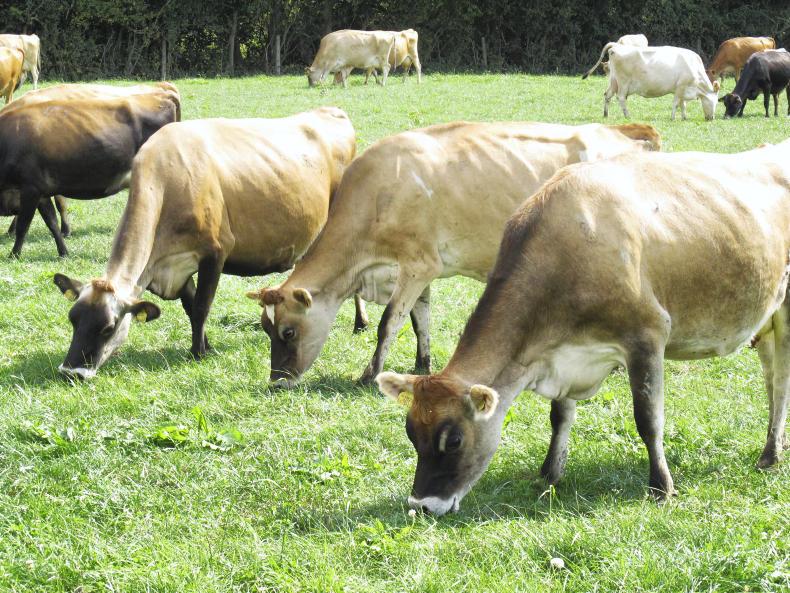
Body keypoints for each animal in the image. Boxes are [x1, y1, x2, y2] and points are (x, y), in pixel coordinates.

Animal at [0, 90, 180, 257]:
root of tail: (162, 96)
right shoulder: (41, 192)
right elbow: (52, 223)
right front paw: (63, 252)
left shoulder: (30, 188)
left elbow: (23, 225)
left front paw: (13, 255)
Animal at [52, 107, 366, 379]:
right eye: (73, 318)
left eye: (108, 327)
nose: (71, 372)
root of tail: (330, 110)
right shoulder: (177, 266)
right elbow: (191, 307)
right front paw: (206, 345)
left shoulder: (215, 252)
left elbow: (202, 306)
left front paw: (197, 353)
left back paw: (360, 323)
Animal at [246, 121, 661, 387]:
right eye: (265, 328)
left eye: (287, 331)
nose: (277, 381)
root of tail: (622, 132)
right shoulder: (420, 271)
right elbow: (419, 320)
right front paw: (422, 364)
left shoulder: (417, 263)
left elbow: (388, 323)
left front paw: (369, 374)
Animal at [376, 140, 790, 515]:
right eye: (411, 432)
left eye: (454, 440)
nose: (421, 505)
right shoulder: (563, 352)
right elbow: (559, 417)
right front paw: (549, 474)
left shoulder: (646, 336)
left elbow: (649, 420)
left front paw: (662, 487)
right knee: (773, 375)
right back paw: (774, 450)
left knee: (781, 378)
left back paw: (769, 455)